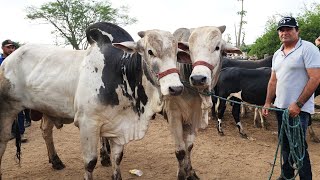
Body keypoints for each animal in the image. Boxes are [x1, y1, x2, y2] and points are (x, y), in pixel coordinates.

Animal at [0, 22, 185, 180]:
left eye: (176, 53)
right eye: (150, 51)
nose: (176, 88)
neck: (120, 72)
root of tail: (8, 60)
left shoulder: (118, 126)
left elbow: (117, 158)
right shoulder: (87, 123)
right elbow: (90, 163)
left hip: (48, 109)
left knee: (45, 131)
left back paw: (56, 161)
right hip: (8, 111)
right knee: (3, 140)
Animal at [162, 26, 240, 179]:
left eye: (217, 47)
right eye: (190, 49)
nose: (198, 78)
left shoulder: (193, 116)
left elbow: (189, 147)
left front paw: (190, 172)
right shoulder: (173, 116)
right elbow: (180, 151)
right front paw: (181, 175)